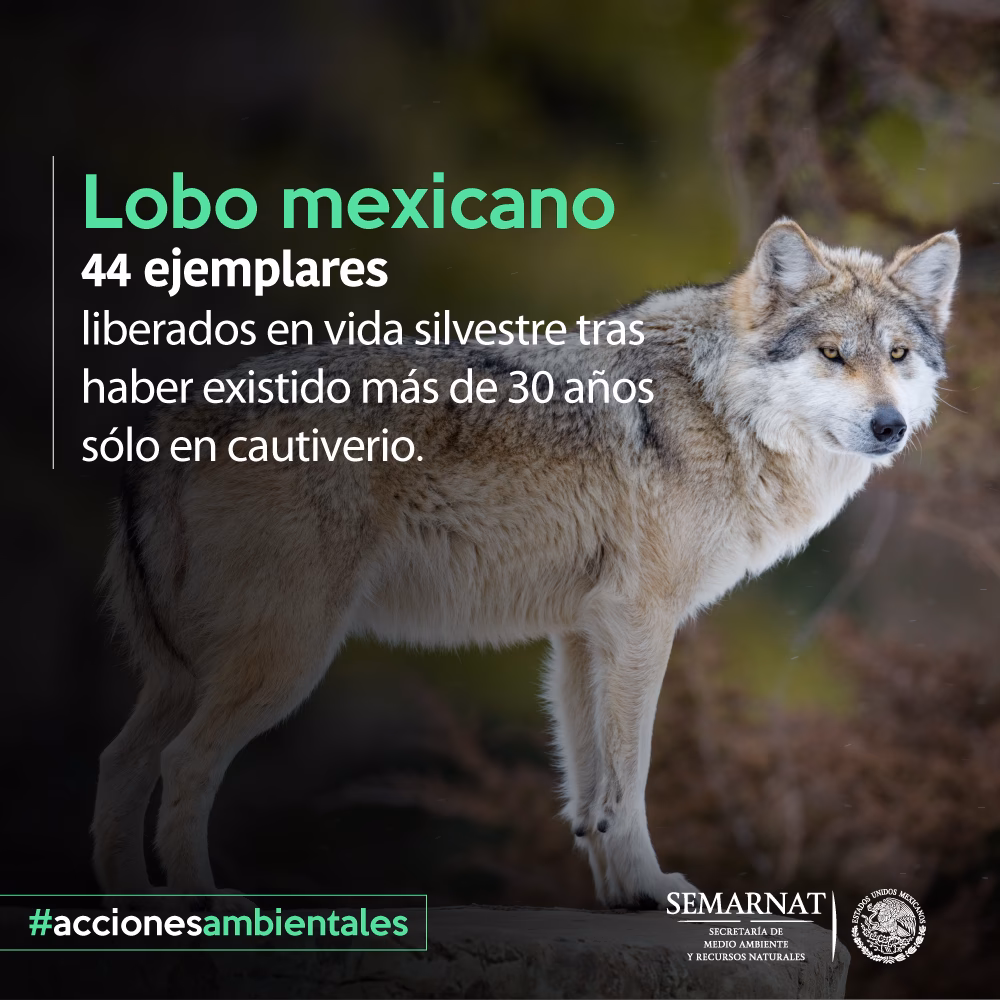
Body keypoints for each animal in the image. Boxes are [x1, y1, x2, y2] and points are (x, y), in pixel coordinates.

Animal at [93, 219, 959, 908]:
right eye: (832, 354)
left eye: (898, 355)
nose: (889, 426)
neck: (718, 406)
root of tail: (163, 425)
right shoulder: (640, 626)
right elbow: (630, 777)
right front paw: (652, 888)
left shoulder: (580, 636)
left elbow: (588, 793)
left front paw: (620, 898)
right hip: (286, 660)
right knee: (181, 763)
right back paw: (206, 906)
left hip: (187, 673)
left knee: (119, 763)